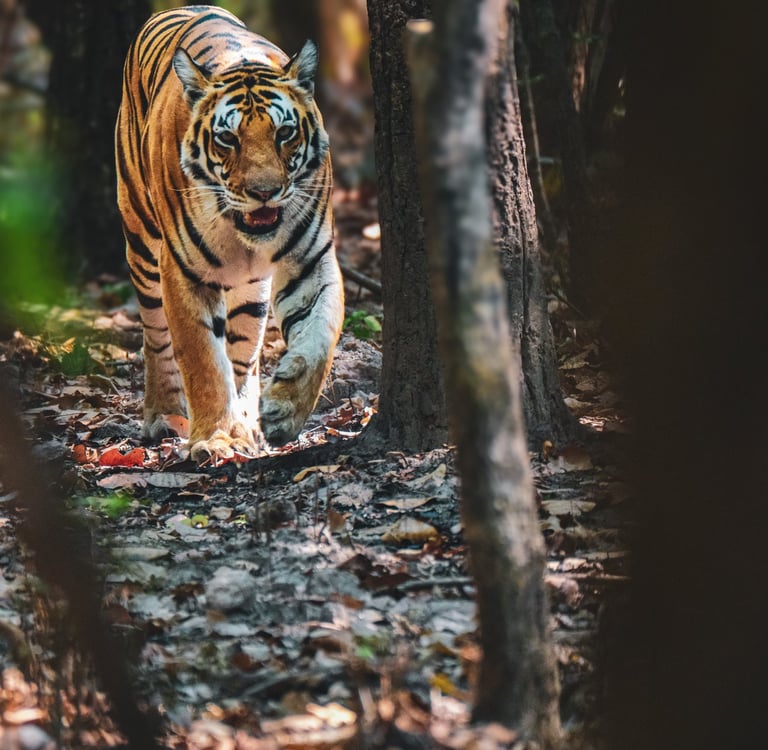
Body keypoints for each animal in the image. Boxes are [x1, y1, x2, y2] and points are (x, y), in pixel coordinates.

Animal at [115, 5, 344, 461]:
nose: (264, 192)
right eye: (227, 138)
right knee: (155, 335)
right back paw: (164, 415)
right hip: (141, 243)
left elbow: (320, 335)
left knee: (244, 354)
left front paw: (283, 411)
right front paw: (213, 438)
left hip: (250, 292)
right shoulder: (184, 270)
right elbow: (202, 358)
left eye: (284, 133)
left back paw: (247, 425)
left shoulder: (312, 260)